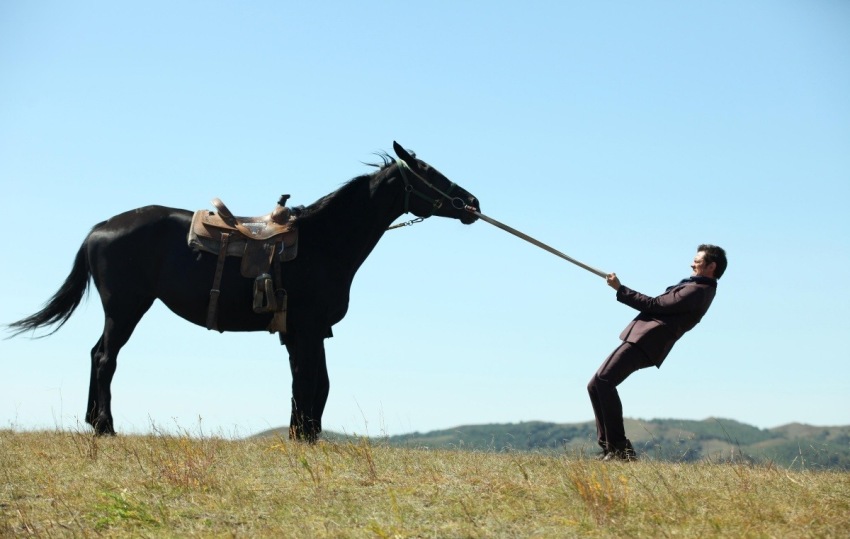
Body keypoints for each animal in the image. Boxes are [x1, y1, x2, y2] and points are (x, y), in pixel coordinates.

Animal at [8, 143, 476, 442]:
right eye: (429, 173)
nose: (472, 203)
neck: (324, 241)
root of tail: (99, 229)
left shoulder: (307, 332)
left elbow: (313, 382)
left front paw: (304, 432)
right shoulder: (307, 330)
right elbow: (311, 381)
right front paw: (304, 436)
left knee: (96, 354)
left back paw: (93, 421)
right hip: (125, 308)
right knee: (106, 358)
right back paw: (105, 426)